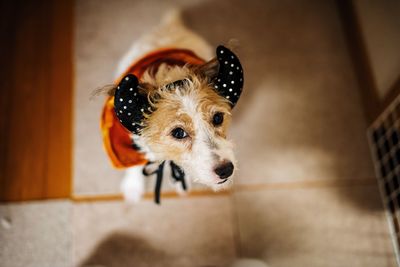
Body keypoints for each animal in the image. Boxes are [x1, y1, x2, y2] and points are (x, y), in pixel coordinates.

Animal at [101, 10, 242, 203]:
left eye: (218, 118)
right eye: (178, 133)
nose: (226, 170)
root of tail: (171, 25)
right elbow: (134, 165)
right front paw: (133, 187)